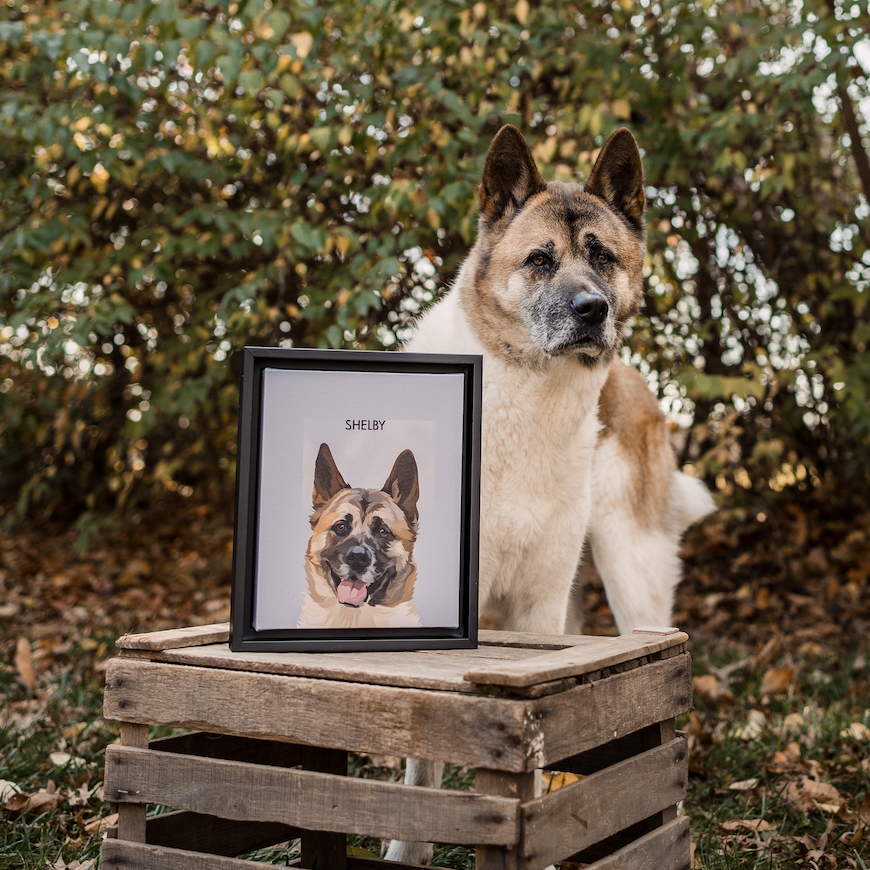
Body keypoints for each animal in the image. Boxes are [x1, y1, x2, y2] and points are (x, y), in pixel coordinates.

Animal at [386, 122, 716, 864]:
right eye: (540, 260)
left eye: (603, 257)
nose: (593, 310)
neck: (524, 392)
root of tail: (638, 384)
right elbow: (424, 758)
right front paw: (408, 848)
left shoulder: (539, 609)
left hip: (629, 573)